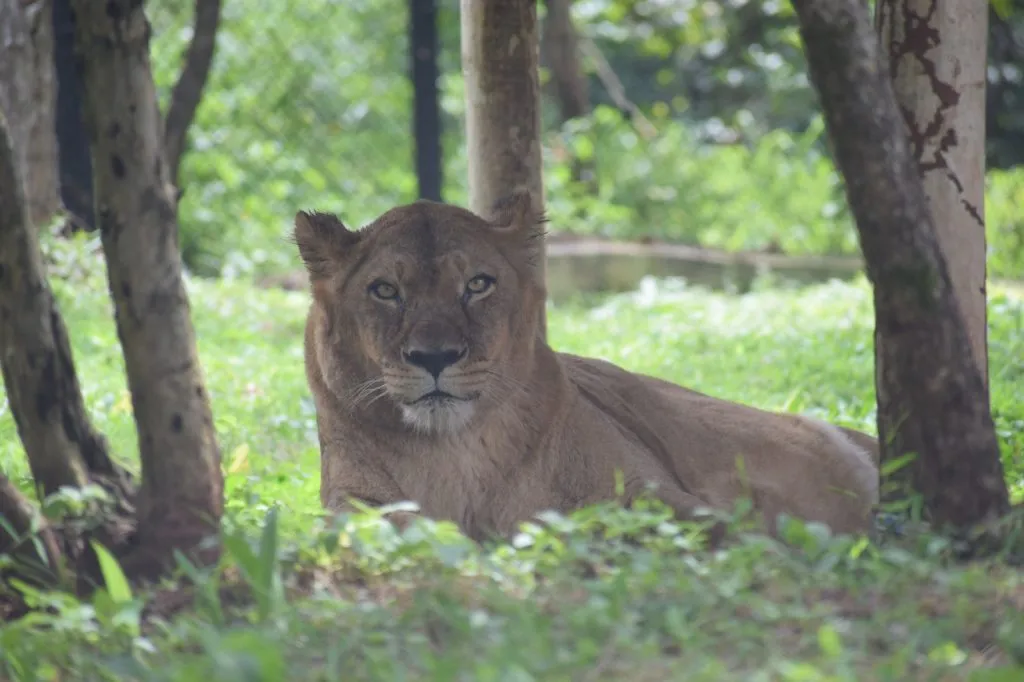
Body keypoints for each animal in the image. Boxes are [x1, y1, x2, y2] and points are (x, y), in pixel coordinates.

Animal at [293, 189, 879, 543]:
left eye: (478, 284)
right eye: (385, 291)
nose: (434, 357)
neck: (453, 451)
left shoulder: (657, 496)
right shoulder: (352, 503)